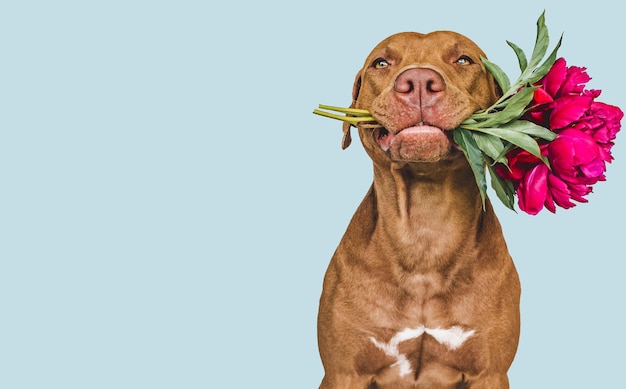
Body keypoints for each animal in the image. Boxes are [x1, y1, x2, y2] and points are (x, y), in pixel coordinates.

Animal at [320, 31, 520, 388]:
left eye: (464, 60)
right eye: (381, 63)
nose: (418, 82)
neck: (425, 231)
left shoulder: (491, 372)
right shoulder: (343, 372)